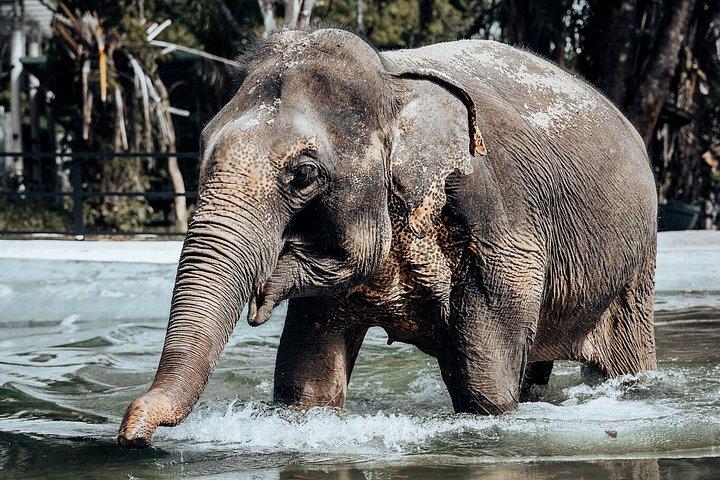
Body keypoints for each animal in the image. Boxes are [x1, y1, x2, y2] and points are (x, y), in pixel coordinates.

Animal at [118, 28, 657, 448]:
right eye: (201, 148)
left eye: (304, 174)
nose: (133, 434)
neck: (391, 83)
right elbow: (307, 384)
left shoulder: (501, 225)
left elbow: (485, 387)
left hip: (635, 267)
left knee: (622, 360)